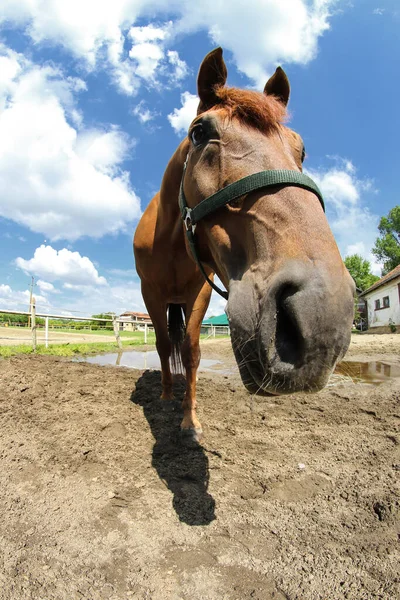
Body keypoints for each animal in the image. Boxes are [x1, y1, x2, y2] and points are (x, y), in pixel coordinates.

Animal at [134, 47, 354, 442]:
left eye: (301, 149)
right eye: (199, 131)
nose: (321, 314)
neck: (171, 244)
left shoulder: (200, 294)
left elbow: (191, 351)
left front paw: (189, 420)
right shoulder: (151, 295)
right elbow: (162, 345)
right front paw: (167, 399)